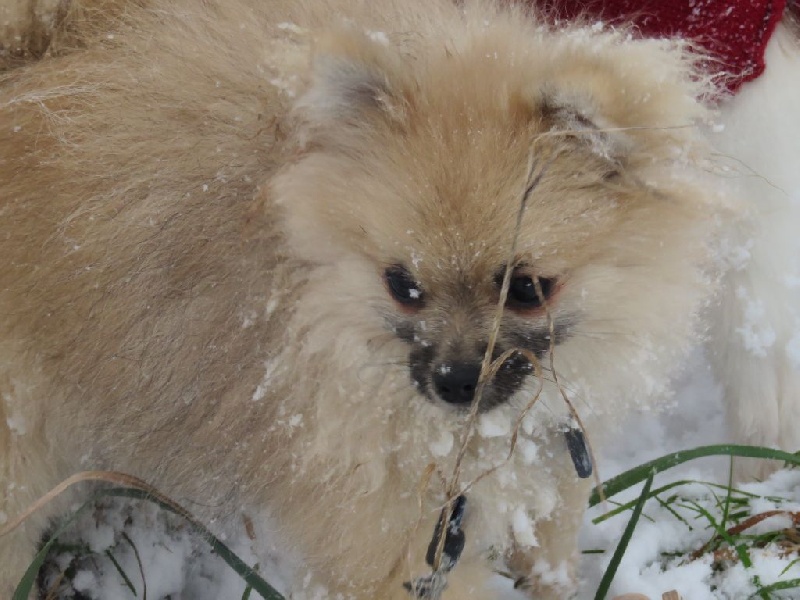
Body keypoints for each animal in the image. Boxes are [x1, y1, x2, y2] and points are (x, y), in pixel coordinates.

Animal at [0, 1, 796, 600]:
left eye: (527, 288)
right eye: (402, 286)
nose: (454, 381)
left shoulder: (544, 462)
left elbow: (548, 548)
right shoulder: (396, 535)